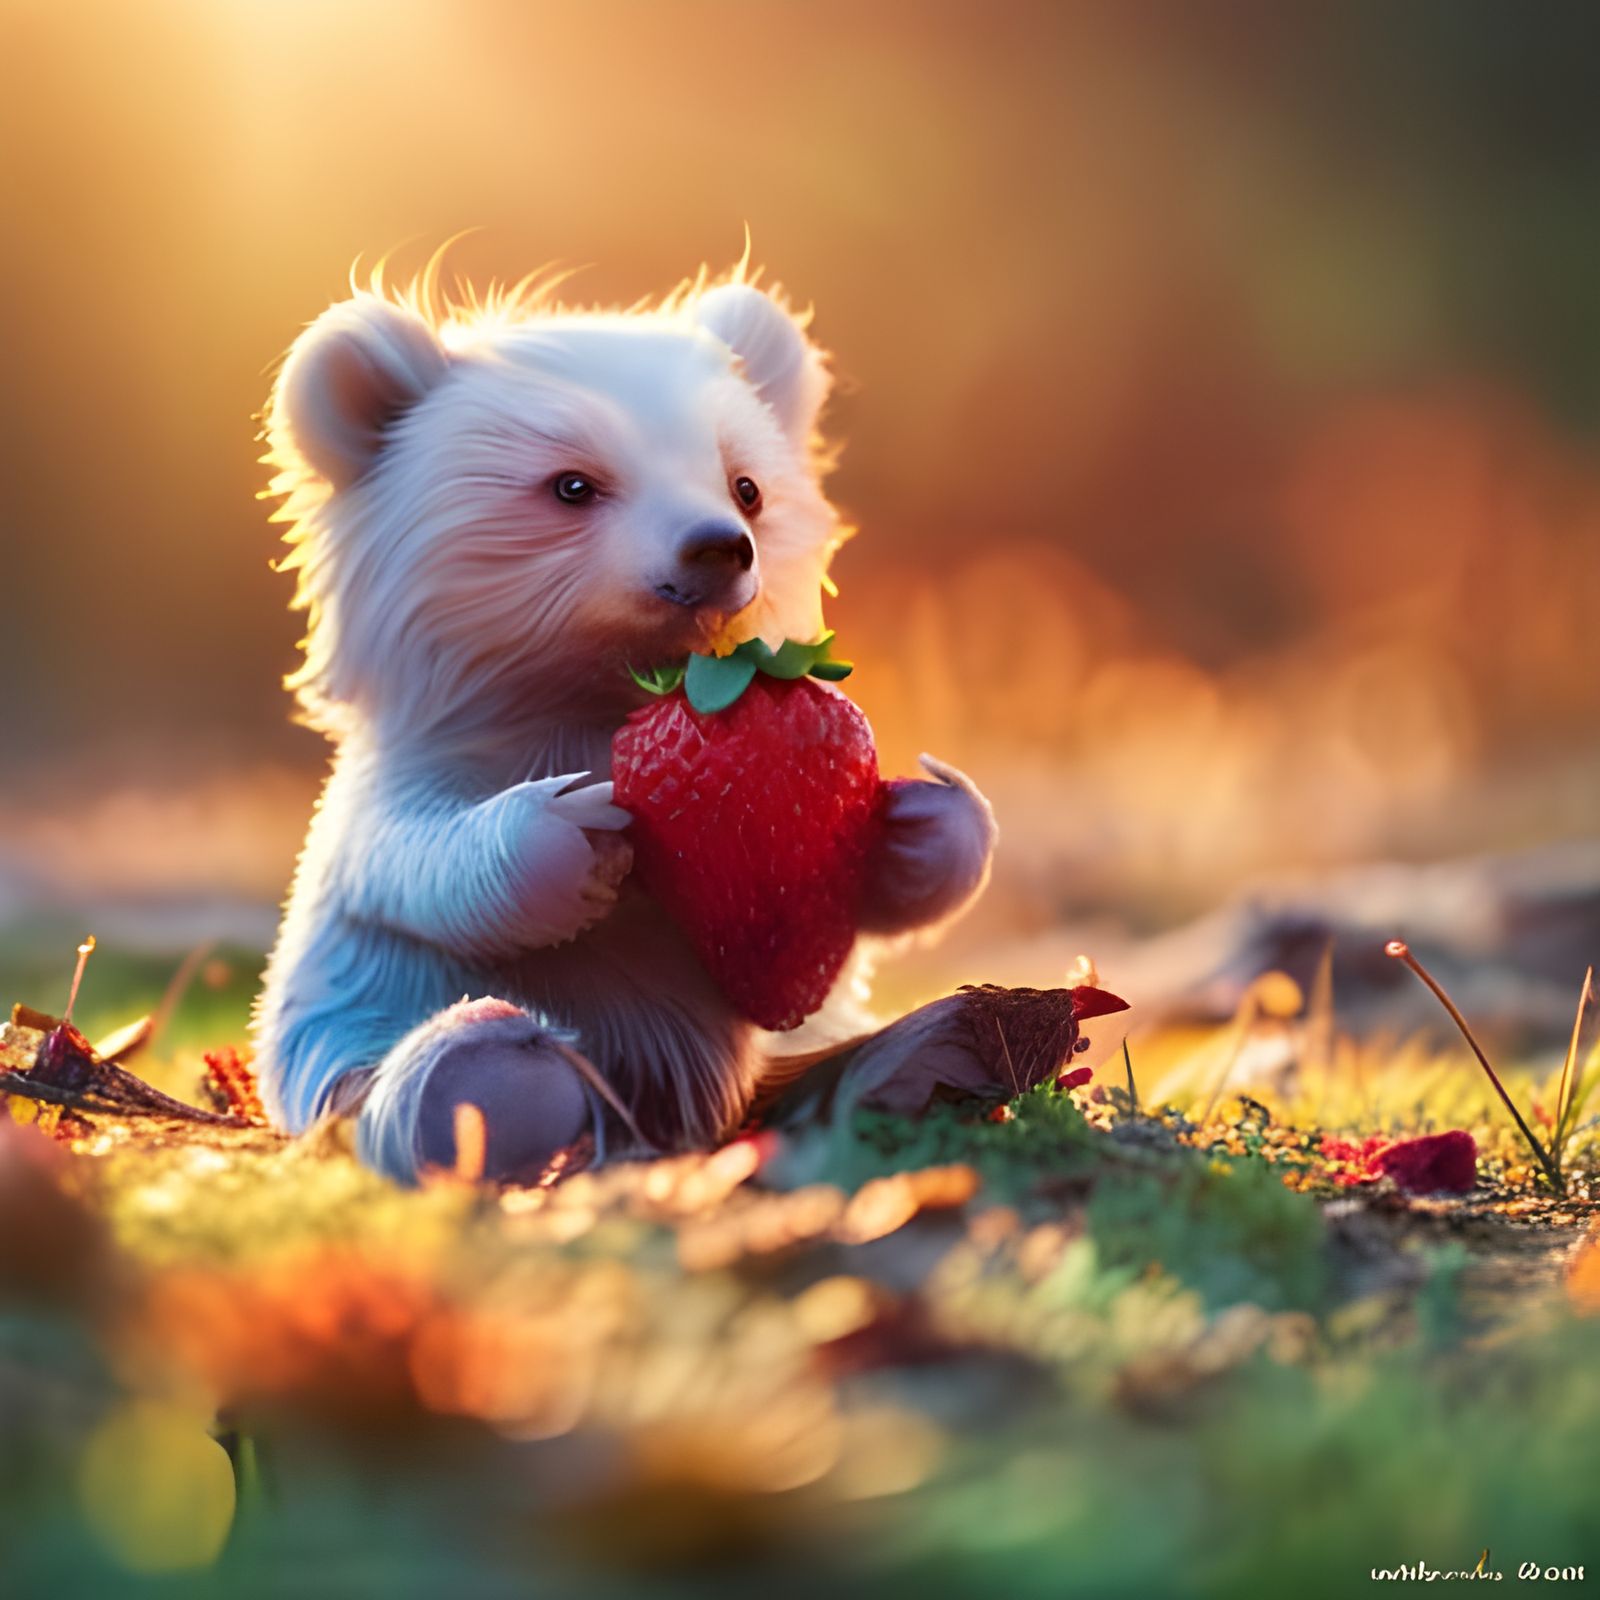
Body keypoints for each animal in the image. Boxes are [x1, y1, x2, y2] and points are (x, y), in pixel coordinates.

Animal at [252, 261, 1048, 1184]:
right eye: (572, 485)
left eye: (747, 485)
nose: (718, 547)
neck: (602, 698)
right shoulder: (403, 790)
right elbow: (414, 861)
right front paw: (573, 831)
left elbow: (864, 897)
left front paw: (925, 818)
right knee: (418, 1079)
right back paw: (497, 1077)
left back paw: (923, 1066)